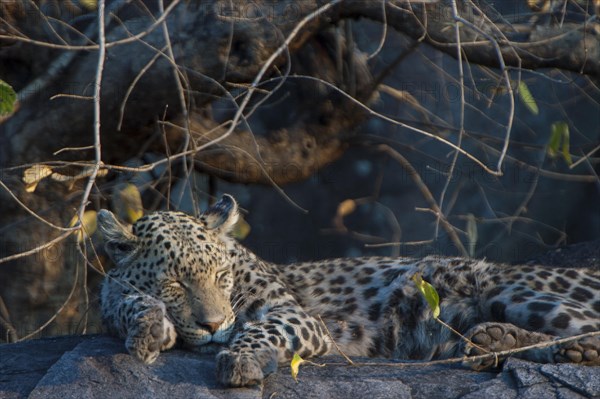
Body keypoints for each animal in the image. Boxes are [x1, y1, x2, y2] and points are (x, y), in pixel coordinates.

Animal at [98, 194, 600, 388]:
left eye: (220, 276)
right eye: (175, 283)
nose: (215, 325)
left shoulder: (298, 317)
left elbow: (260, 330)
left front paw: (239, 359)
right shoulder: (109, 299)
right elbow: (124, 301)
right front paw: (149, 328)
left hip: (507, 285)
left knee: (588, 329)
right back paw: (493, 342)